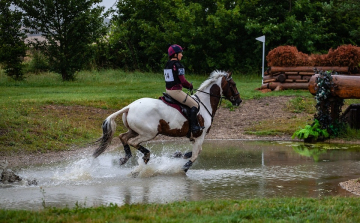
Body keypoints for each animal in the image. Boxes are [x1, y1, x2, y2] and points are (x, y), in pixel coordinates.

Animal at [93, 70, 242, 172]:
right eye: (233, 84)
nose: (239, 101)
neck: (205, 103)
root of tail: (129, 106)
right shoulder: (200, 135)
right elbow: (195, 154)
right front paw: (183, 169)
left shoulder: (193, 137)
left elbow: (191, 153)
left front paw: (178, 154)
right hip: (149, 133)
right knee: (133, 142)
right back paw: (145, 156)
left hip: (135, 130)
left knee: (123, 137)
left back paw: (125, 158)